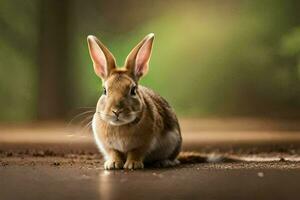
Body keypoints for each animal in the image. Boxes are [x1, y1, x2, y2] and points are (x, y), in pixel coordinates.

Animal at [85, 33, 182, 170]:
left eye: (133, 90)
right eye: (104, 90)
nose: (116, 111)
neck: (120, 125)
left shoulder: (144, 143)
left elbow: (135, 152)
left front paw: (133, 165)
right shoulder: (108, 146)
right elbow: (114, 153)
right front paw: (113, 164)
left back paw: (164, 162)